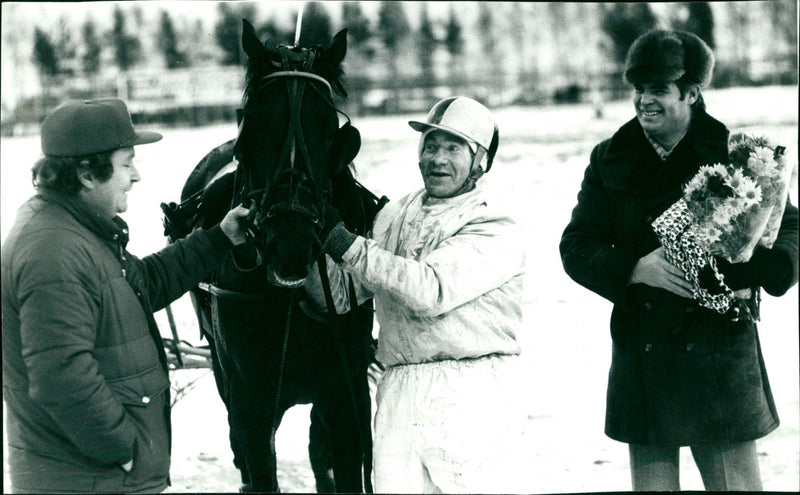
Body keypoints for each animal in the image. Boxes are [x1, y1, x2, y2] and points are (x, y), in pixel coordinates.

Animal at [162, 18, 384, 492]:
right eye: (254, 128)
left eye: (330, 131)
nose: (291, 243)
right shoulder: (250, 402)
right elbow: (258, 464)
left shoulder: (344, 392)